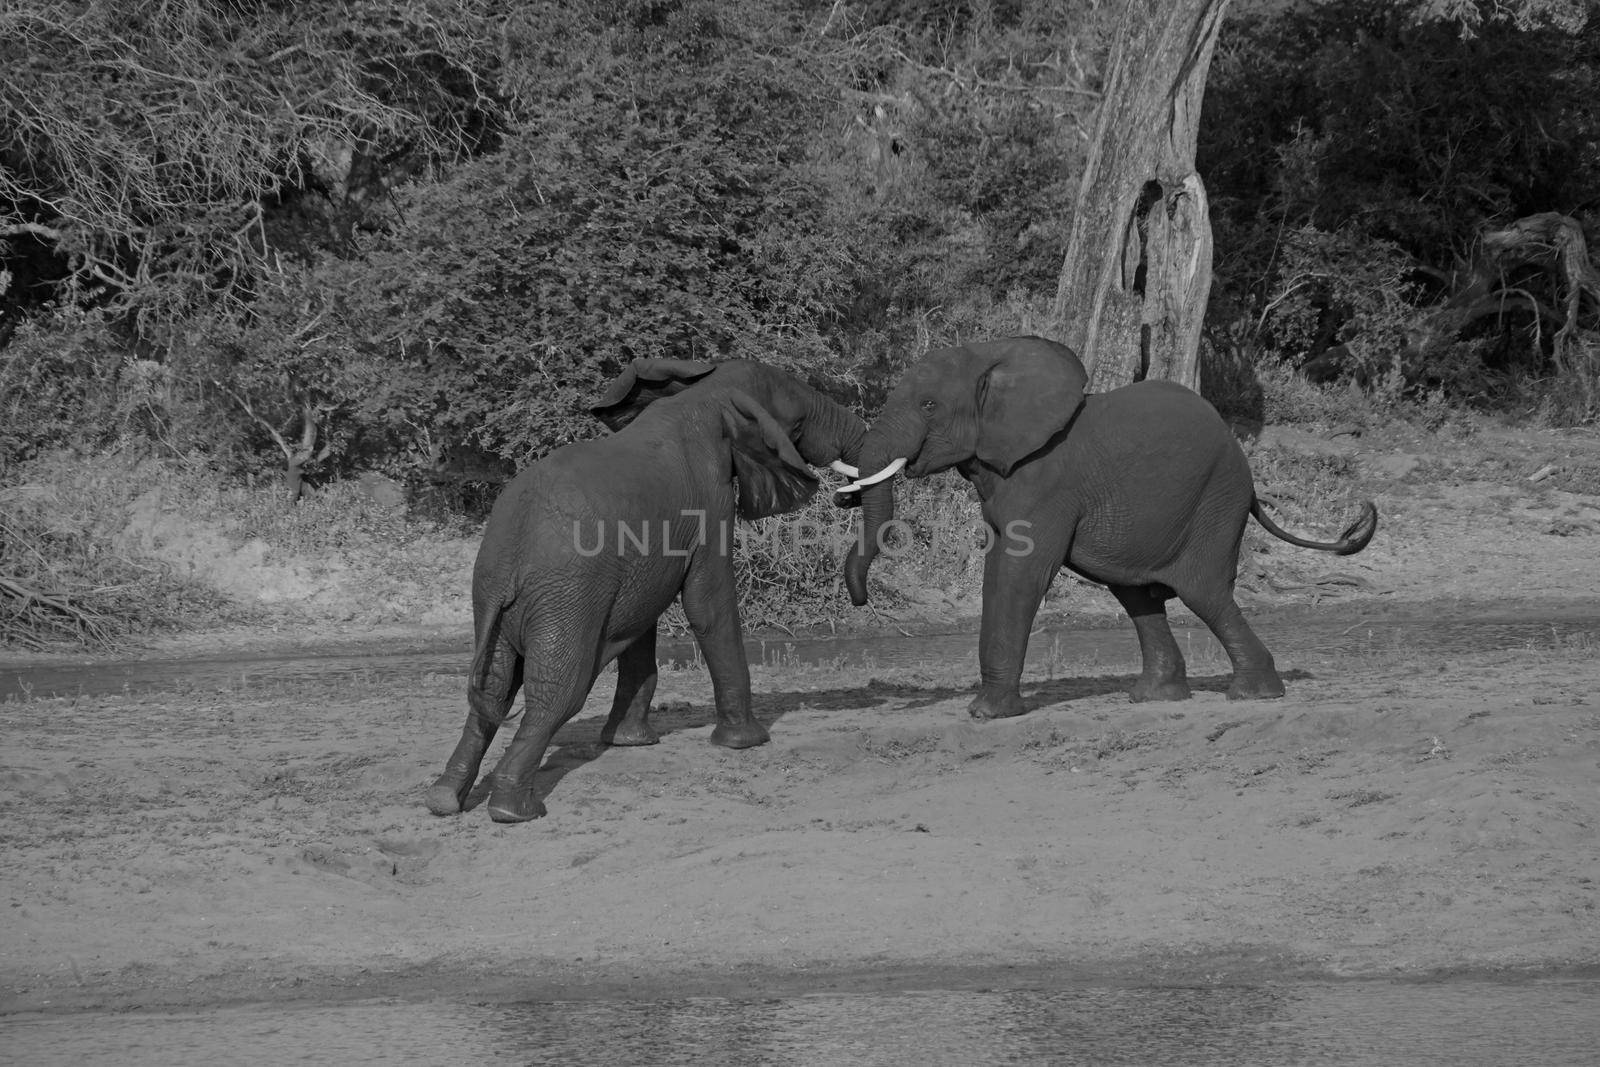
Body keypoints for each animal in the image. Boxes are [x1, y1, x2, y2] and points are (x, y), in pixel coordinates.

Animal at [425, 361, 870, 825]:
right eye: (796, 425)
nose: (845, 497)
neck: (705, 393)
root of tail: (511, 551)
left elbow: (640, 627)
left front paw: (628, 742)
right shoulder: (709, 502)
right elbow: (707, 604)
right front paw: (747, 742)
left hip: (491, 595)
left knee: (493, 690)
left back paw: (444, 799)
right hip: (565, 594)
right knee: (557, 693)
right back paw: (515, 810)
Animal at [838, 334, 1376, 716]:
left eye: (929, 405)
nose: (860, 601)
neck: (991, 356)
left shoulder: (1046, 482)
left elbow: (1019, 572)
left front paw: (987, 714)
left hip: (1216, 500)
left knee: (1204, 591)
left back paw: (1253, 695)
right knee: (1136, 594)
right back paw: (1155, 698)